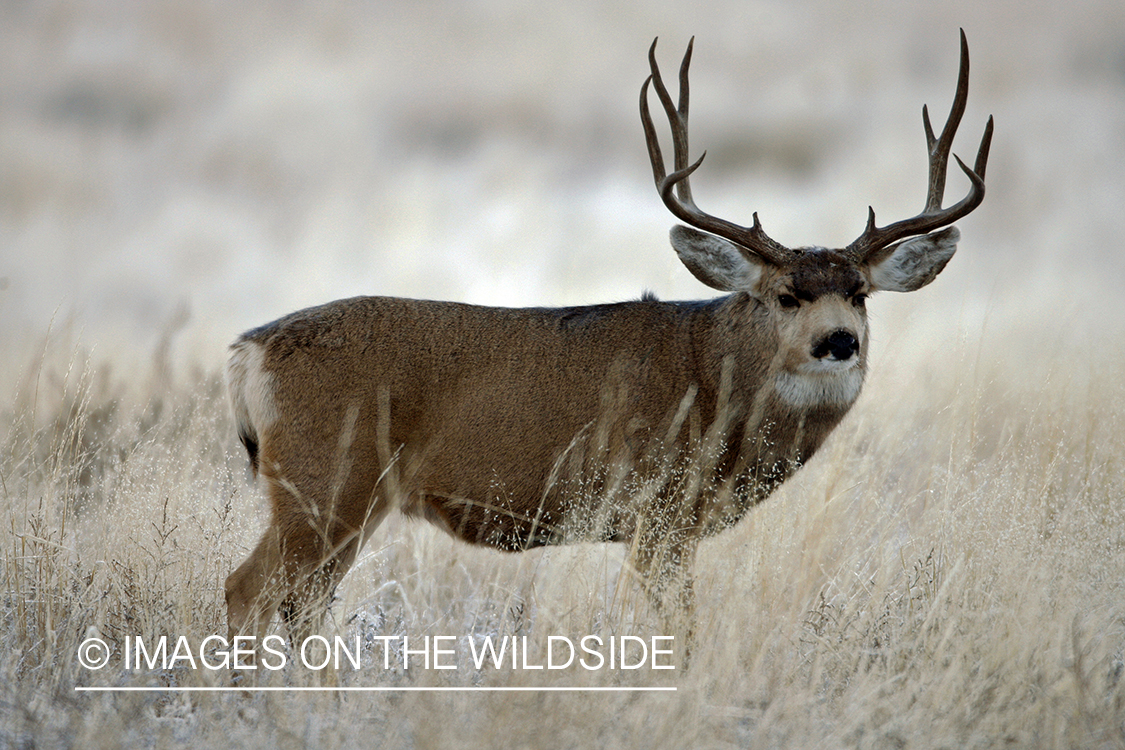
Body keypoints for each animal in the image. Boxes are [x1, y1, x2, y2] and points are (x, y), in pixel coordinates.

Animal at [224, 31, 991, 657]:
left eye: (859, 293)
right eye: (785, 296)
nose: (838, 341)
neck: (716, 385)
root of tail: (247, 349)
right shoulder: (658, 513)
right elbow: (680, 633)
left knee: (298, 605)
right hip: (327, 478)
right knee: (249, 592)